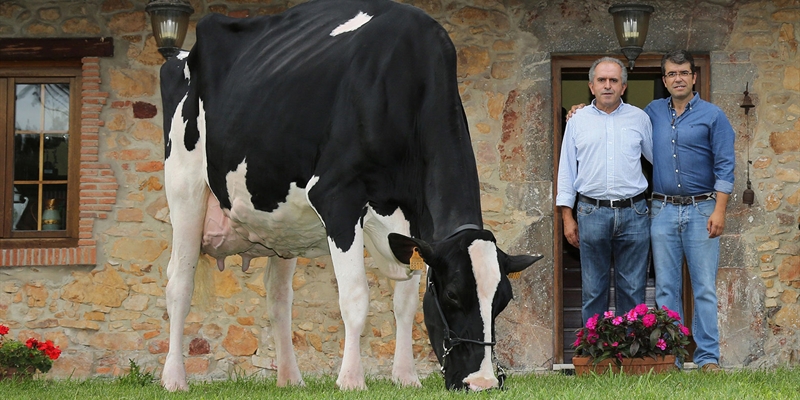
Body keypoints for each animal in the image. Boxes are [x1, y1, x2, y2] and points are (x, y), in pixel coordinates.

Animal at [159, 0, 540, 390]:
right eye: (452, 294)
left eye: (503, 300)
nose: (483, 382)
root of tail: (181, 53)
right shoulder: (338, 199)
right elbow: (356, 298)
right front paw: (351, 380)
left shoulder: (415, 226)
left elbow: (404, 302)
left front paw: (406, 377)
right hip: (184, 184)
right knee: (179, 284)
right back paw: (174, 379)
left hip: (280, 224)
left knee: (278, 298)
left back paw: (290, 379)